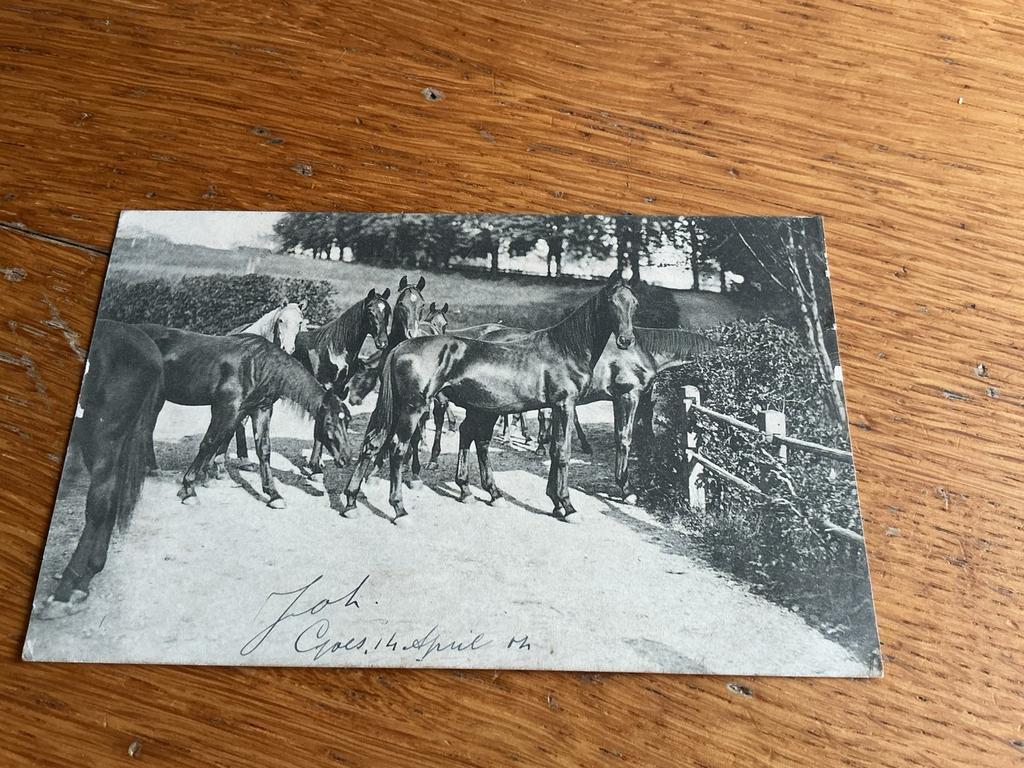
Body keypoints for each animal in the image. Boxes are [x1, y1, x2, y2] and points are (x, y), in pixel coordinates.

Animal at [137, 324, 348, 508]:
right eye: (329, 422)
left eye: (347, 421)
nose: (345, 459)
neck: (256, 365)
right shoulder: (226, 408)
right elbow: (209, 442)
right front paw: (189, 488)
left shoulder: (259, 410)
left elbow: (262, 449)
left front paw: (273, 494)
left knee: (146, 429)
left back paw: (153, 469)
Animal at [291, 288, 391, 476]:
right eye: (370, 312)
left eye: (387, 311)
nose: (382, 342)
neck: (335, 349)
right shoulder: (323, 389)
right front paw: (314, 466)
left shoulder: (338, 390)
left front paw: (318, 463)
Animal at [343, 269, 639, 520]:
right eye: (612, 302)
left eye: (634, 304)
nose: (626, 340)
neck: (565, 348)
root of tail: (400, 347)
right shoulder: (565, 405)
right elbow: (563, 452)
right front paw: (567, 505)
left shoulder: (556, 407)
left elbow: (555, 451)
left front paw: (555, 503)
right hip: (413, 407)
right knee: (397, 447)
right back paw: (399, 509)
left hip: (401, 408)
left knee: (372, 443)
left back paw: (351, 502)